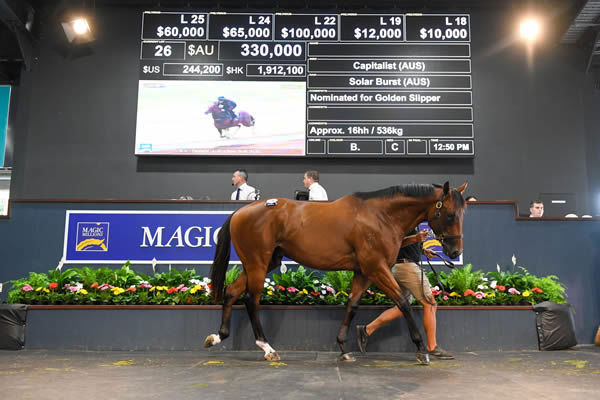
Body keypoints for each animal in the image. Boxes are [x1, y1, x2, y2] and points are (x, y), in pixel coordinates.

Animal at [204, 183, 466, 364]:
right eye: (450, 214)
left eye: (462, 213)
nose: (454, 252)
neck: (380, 216)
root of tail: (240, 212)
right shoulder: (376, 268)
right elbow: (402, 302)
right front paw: (421, 350)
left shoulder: (363, 272)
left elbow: (352, 305)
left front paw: (343, 348)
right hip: (257, 263)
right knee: (251, 299)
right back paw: (267, 348)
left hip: (262, 263)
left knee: (231, 292)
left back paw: (218, 336)